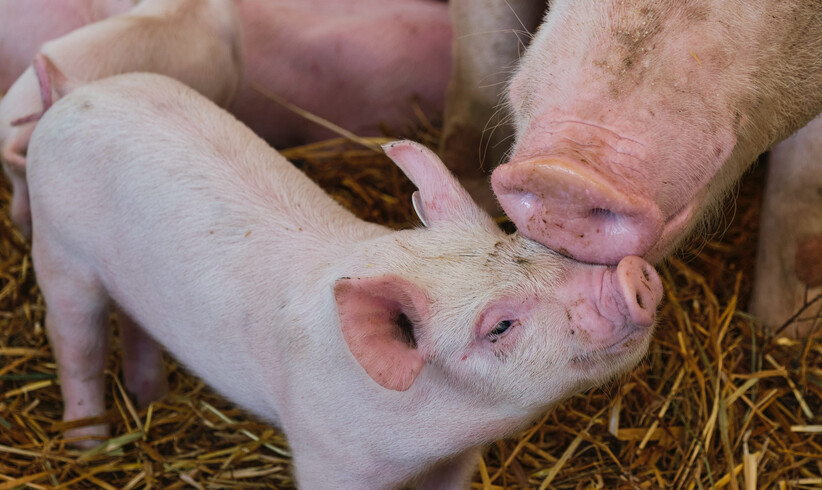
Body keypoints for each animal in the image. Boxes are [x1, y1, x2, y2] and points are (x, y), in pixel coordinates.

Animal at [29, 73, 668, 490]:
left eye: (520, 241)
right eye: (499, 327)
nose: (632, 276)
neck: (432, 437)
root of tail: (75, 94)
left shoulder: (458, 462)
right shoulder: (327, 457)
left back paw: (152, 397)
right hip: (59, 252)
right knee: (75, 346)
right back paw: (89, 446)